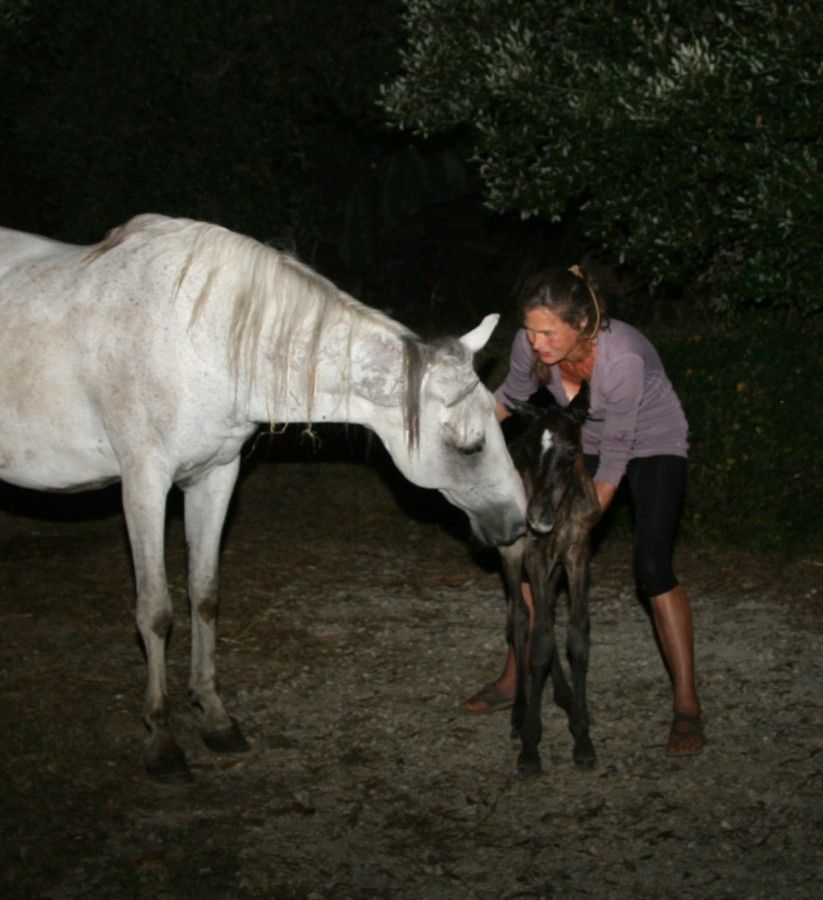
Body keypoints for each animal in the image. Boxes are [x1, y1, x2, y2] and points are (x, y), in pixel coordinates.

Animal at [0, 214, 528, 776]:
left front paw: (214, 716)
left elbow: (204, 595)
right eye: (471, 446)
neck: (197, 340)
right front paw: (161, 738)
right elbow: (155, 611)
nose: (520, 522)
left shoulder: (214, 475)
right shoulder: (144, 484)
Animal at [498, 384, 600, 776]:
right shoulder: (537, 557)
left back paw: (565, 695)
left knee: (546, 617)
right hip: (512, 556)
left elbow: (577, 636)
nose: (538, 516)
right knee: (520, 620)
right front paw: (530, 745)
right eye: (529, 450)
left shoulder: (577, 555)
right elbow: (539, 641)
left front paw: (582, 737)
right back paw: (519, 712)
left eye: (571, 451)